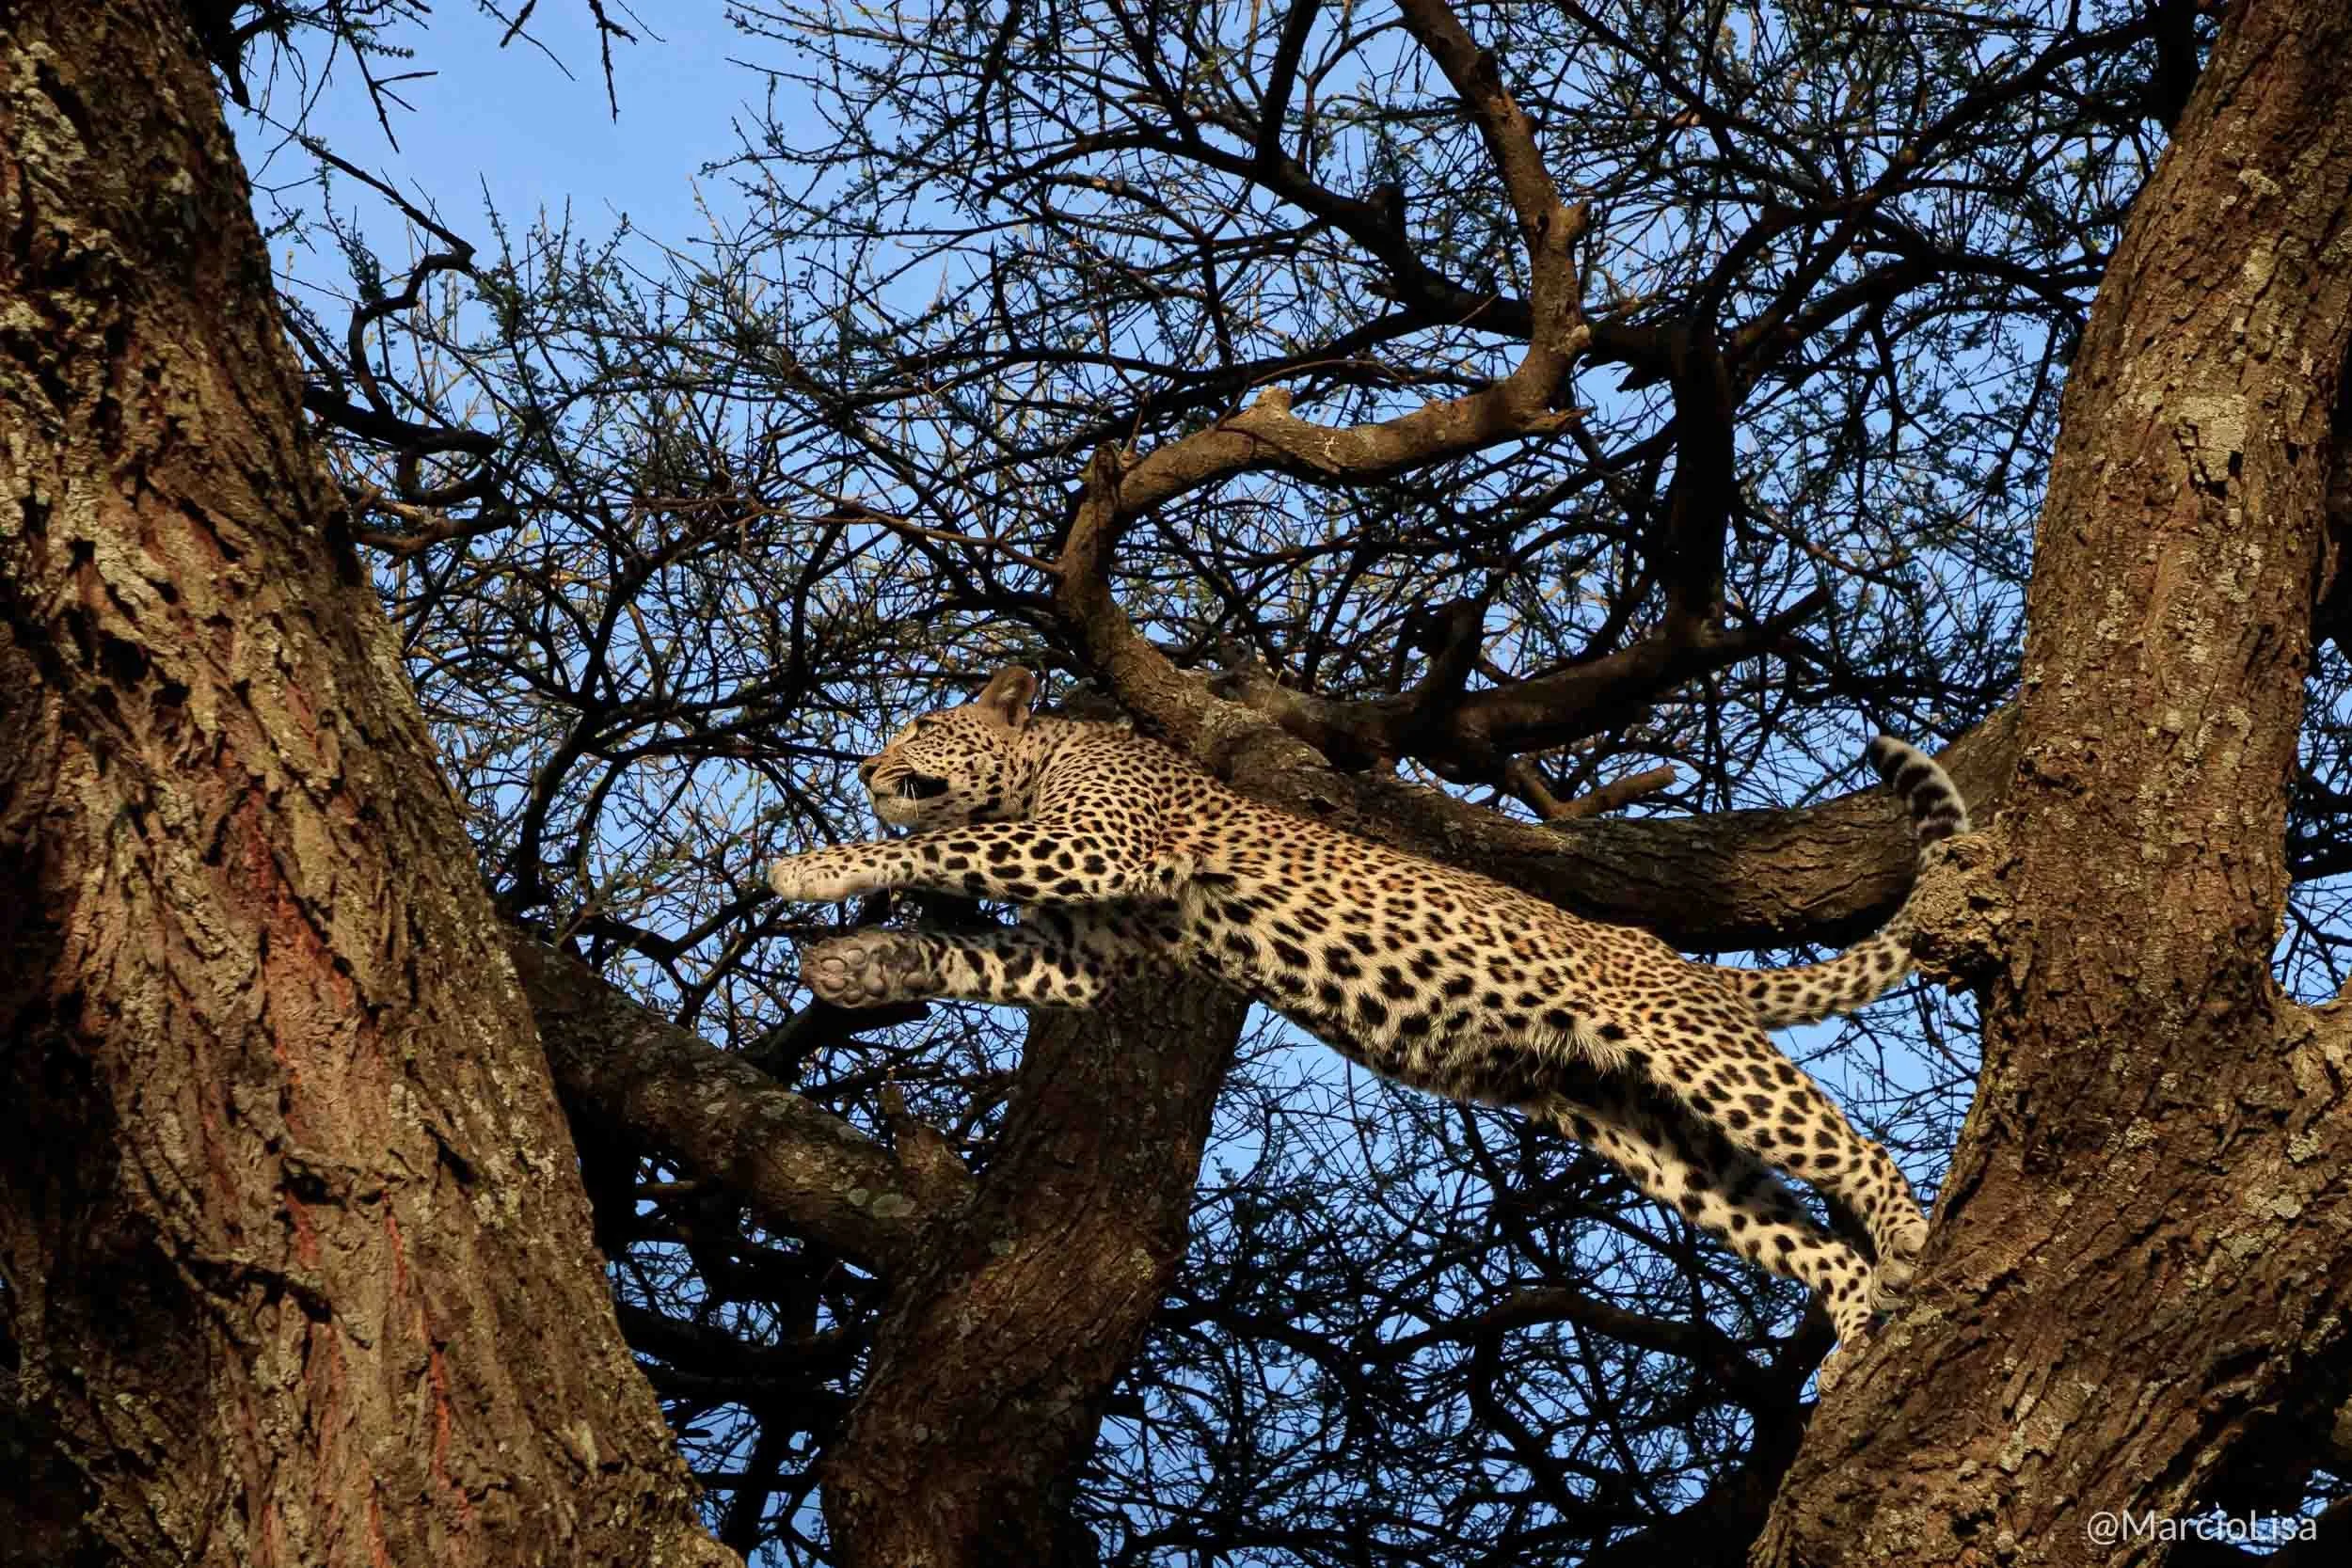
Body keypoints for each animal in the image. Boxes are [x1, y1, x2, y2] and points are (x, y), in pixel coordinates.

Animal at [767, 665, 1970, 1385]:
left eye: (922, 725)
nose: (867, 766)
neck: (1046, 759)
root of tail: (1671, 954)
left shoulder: (1095, 847)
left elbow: (940, 847)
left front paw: (812, 865)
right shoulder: (1080, 950)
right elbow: (959, 942)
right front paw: (856, 961)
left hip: (1703, 1056)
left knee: (1855, 1148)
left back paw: (1909, 1240)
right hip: (1645, 1130)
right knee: (1803, 1238)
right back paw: (1852, 1336)